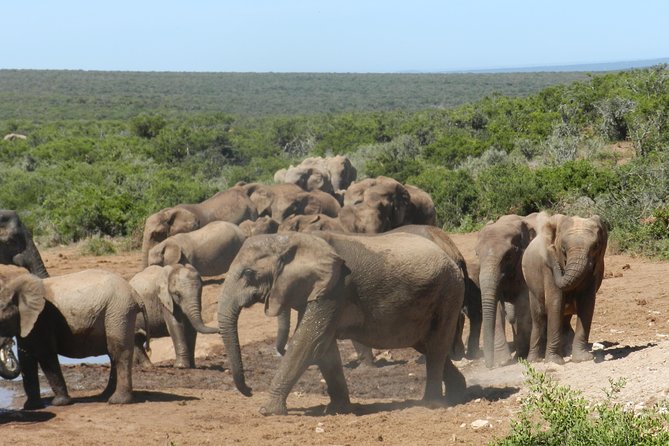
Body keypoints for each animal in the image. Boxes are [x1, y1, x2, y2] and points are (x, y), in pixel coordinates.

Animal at [0, 268, 143, 409]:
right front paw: (31, 406)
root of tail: (134, 292)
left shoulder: (42, 318)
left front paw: (60, 403)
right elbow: (26, 358)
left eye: (2, 320)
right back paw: (105, 396)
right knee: (113, 354)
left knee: (119, 352)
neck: (13, 287)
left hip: (119, 312)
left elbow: (46, 356)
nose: (8, 344)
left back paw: (117, 401)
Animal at [218, 231, 467, 415]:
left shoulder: (335, 289)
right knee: (428, 345)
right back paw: (459, 393)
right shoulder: (320, 292)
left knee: (436, 346)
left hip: (449, 292)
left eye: (248, 273)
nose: (250, 390)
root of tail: (451, 256)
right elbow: (324, 348)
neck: (295, 239)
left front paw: (267, 411)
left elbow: (307, 342)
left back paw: (432, 405)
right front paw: (338, 410)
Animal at [477, 213, 538, 368]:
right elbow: (497, 307)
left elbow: (525, 305)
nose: (489, 366)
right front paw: (502, 361)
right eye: (477, 255)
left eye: (508, 256)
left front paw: (520, 356)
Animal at [522, 213, 607, 365]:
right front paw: (554, 361)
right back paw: (534, 361)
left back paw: (566, 352)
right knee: (538, 318)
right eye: (562, 249)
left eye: (596, 246)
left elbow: (587, 304)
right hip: (532, 286)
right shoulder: (547, 271)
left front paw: (582, 359)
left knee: (564, 318)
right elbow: (555, 303)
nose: (550, 249)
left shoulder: (595, 268)